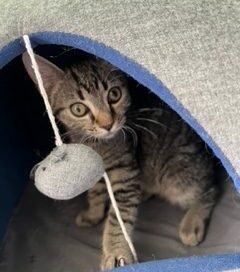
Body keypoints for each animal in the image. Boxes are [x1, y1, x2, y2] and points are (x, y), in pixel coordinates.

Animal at [22, 52, 218, 270]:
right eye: (79, 109)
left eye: (114, 94)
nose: (107, 124)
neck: (98, 145)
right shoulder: (94, 171)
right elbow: (95, 192)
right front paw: (93, 213)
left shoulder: (125, 172)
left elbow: (118, 217)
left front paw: (116, 252)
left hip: (176, 175)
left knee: (210, 190)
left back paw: (191, 224)